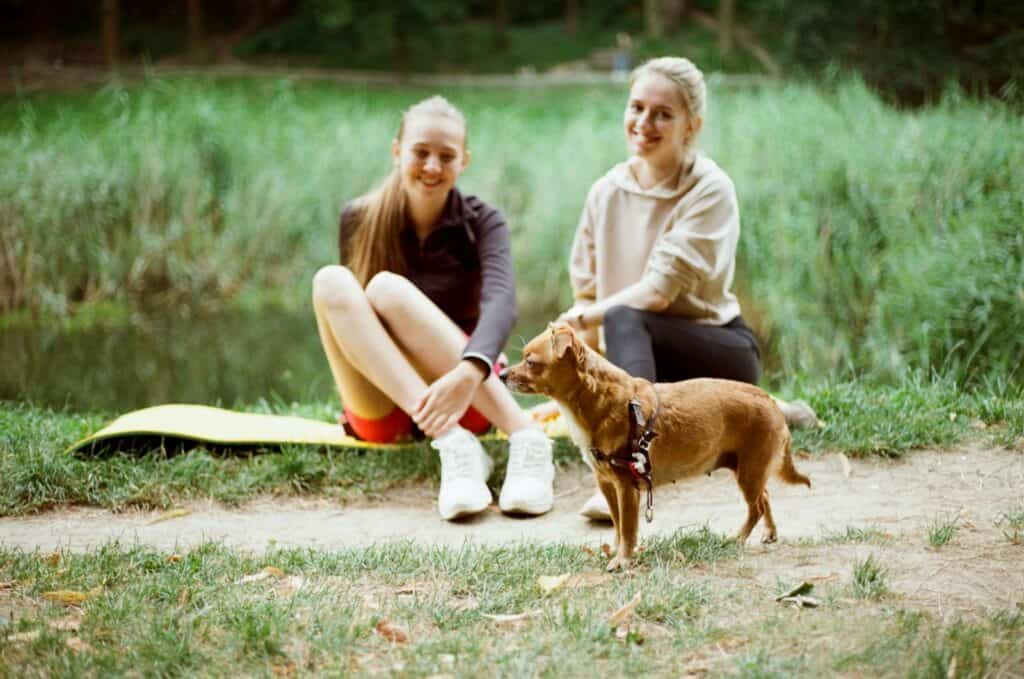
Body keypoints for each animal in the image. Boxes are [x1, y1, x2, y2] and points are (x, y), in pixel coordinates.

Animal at [501, 323, 806, 569]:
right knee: (764, 497)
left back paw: (738, 538)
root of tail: (770, 401)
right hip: (748, 470)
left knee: (756, 507)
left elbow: (628, 527)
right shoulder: (607, 484)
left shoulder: (626, 488)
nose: (502, 374)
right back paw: (769, 532)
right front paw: (615, 550)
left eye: (530, 362)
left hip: (749, 473)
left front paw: (622, 560)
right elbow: (617, 525)